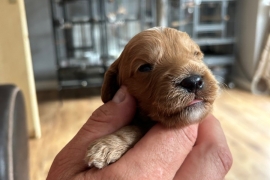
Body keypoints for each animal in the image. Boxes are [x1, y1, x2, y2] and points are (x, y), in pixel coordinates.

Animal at [85, 27, 218, 169]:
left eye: (196, 54)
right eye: (145, 67)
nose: (194, 81)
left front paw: (108, 145)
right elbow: (136, 128)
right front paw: (107, 145)